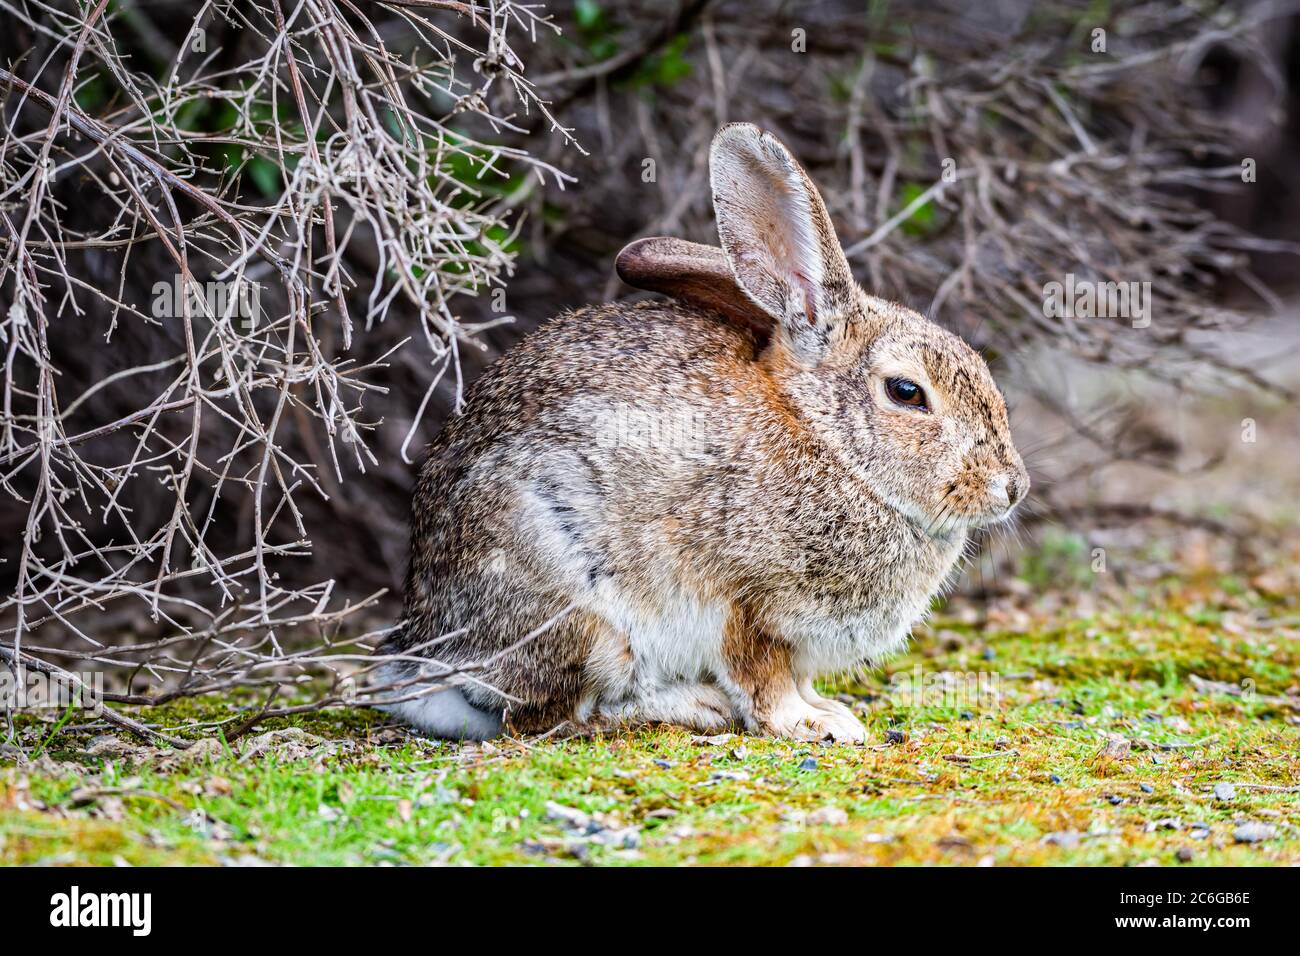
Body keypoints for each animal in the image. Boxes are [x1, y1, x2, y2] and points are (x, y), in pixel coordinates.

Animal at [373, 123, 1028, 743]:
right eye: (906, 392)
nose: (1012, 487)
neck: (829, 443)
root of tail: (433, 658)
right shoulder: (743, 603)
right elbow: (762, 677)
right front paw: (810, 724)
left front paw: (828, 709)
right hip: (579, 615)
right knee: (556, 715)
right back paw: (691, 706)